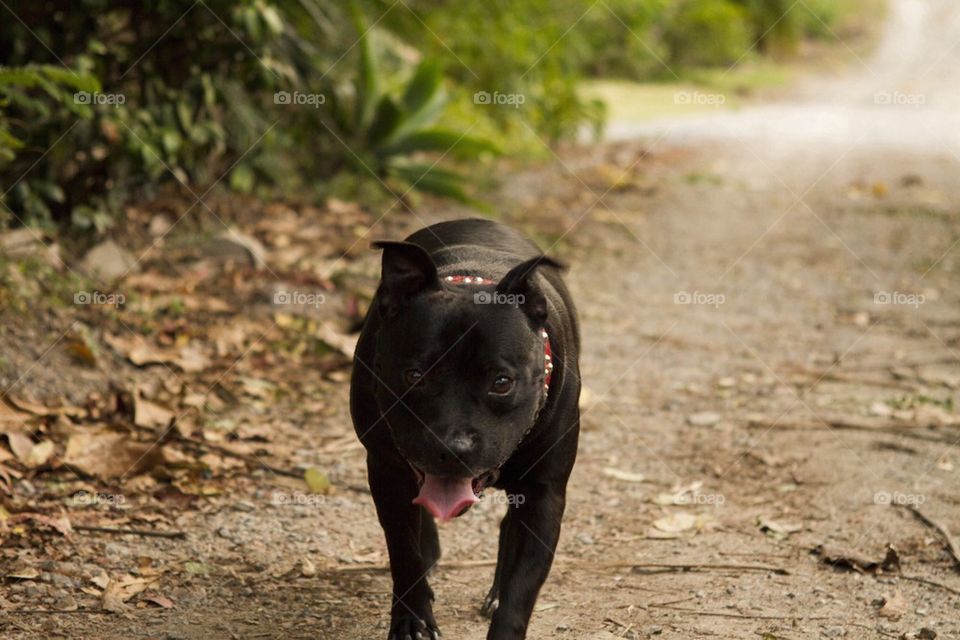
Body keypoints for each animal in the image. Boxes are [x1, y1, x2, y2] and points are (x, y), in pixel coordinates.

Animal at [350, 218, 580, 636]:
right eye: (414, 375)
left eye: (501, 382)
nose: (451, 447)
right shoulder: (386, 471)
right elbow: (403, 552)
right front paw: (412, 620)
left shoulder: (544, 495)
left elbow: (522, 589)